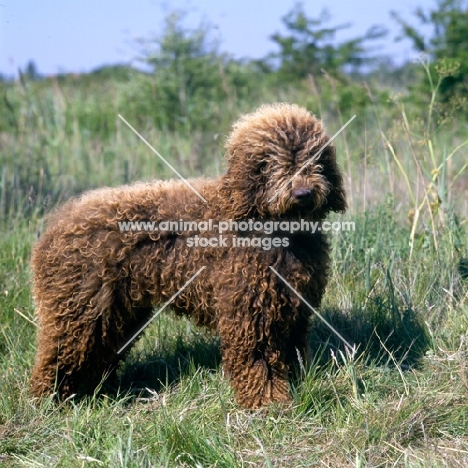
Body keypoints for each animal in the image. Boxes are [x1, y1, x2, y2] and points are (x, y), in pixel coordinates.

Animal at [28, 103, 344, 410]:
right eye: (270, 162)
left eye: (315, 157)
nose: (303, 193)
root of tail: (56, 224)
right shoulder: (250, 315)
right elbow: (259, 361)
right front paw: (266, 402)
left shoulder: (293, 311)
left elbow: (291, 354)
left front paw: (293, 386)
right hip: (79, 310)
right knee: (59, 356)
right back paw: (49, 401)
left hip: (116, 313)